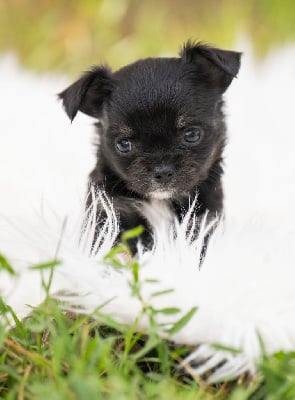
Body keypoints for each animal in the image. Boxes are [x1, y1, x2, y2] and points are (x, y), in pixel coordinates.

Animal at [59, 40, 242, 253]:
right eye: (123, 145)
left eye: (192, 134)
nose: (162, 172)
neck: (160, 200)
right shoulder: (110, 212)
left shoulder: (203, 218)